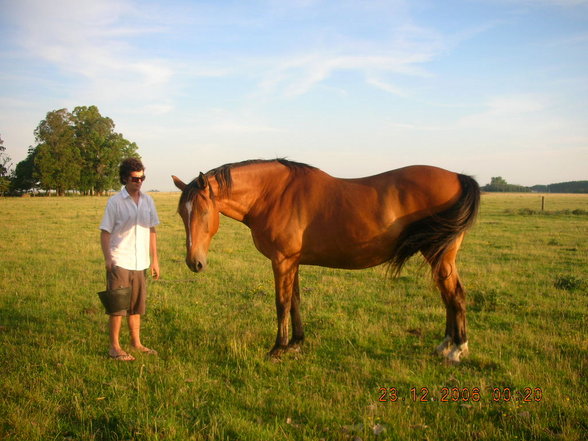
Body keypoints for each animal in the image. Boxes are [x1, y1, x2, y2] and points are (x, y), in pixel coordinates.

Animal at [172, 158, 480, 360]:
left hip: (440, 256)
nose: (194, 262)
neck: (273, 194)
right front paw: (296, 343)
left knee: (455, 295)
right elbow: (295, 301)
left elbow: (282, 303)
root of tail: (458, 176)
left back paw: (457, 349)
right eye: (181, 213)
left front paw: (277, 348)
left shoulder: (282, 261)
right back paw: (445, 345)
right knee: (448, 296)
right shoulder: (293, 262)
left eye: (203, 211)